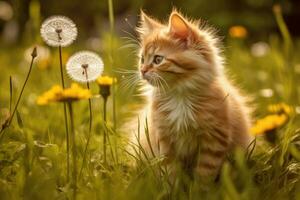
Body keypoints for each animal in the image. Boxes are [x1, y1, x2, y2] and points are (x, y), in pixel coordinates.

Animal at [132, 10, 252, 180]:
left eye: (158, 59)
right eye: (142, 59)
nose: (142, 71)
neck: (179, 95)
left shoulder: (215, 139)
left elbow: (205, 173)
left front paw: (199, 187)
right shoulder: (164, 138)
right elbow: (170, 171)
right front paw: (172, 187)